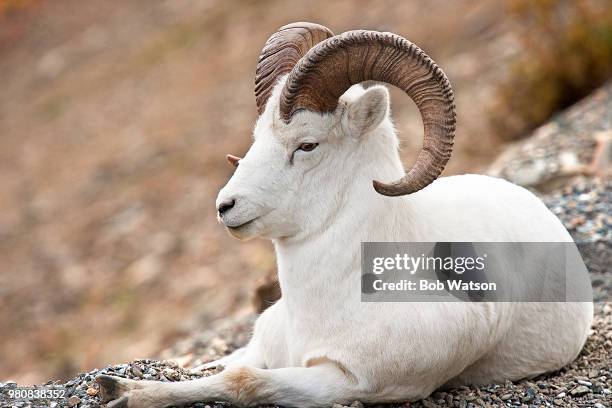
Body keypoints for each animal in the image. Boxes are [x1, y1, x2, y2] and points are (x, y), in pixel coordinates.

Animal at [97, 22, 592, 408]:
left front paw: (123, 392)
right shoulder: (264, 347)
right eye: (258, 136)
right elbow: (226, 367)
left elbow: (243, 381)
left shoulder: (347, 382)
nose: (226, 207)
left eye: (307, 144)